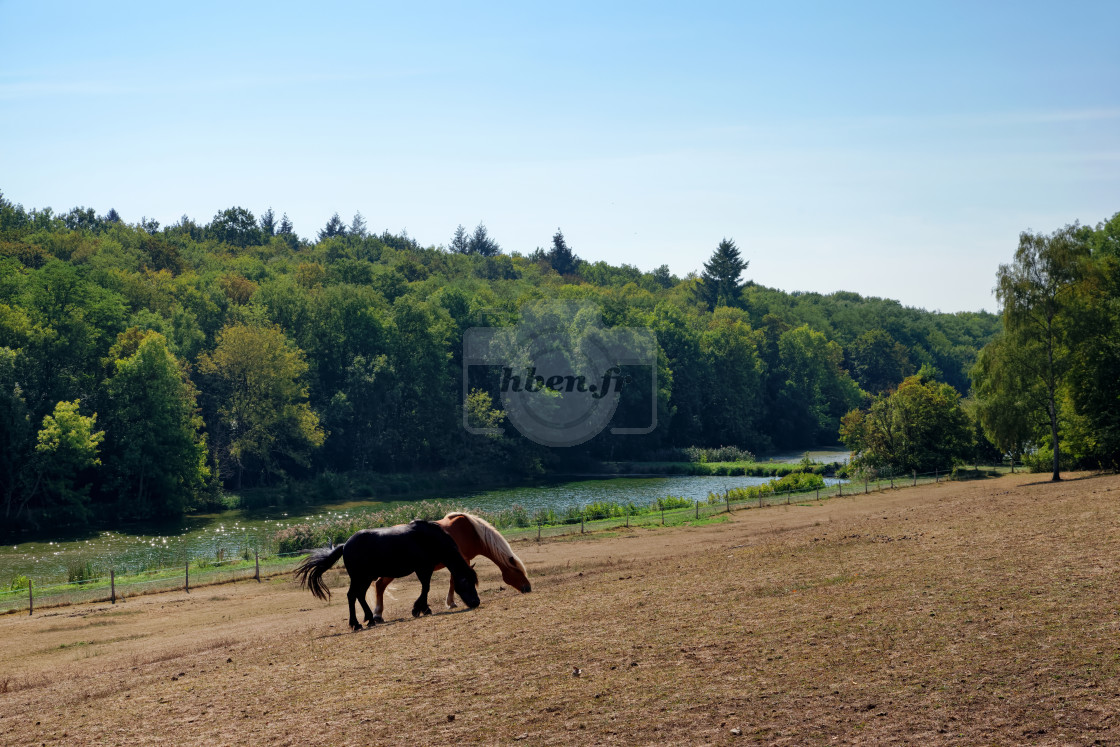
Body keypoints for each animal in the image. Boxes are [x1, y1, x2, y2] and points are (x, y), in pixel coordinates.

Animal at [295, 519, 479, 631]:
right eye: (466, 582)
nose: (476, 602)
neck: (428, 539)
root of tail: (345, 545)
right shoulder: (423, 569)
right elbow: (425, 588)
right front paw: (418, 609)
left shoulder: (425, 569)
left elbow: (425, 588)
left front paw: (423, 609)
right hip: (359, 578)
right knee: (352, 595)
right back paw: (356, 624)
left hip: (366, 578)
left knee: (359, 595)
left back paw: (370, 618)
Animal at [369, 510, 530, 622]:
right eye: (518, 571)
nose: (528, 588)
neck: (472, 532)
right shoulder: (463, 561)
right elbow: (454, 582)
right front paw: (450, 603)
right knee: (380, 585)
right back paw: (377, 615)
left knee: (380, 585)